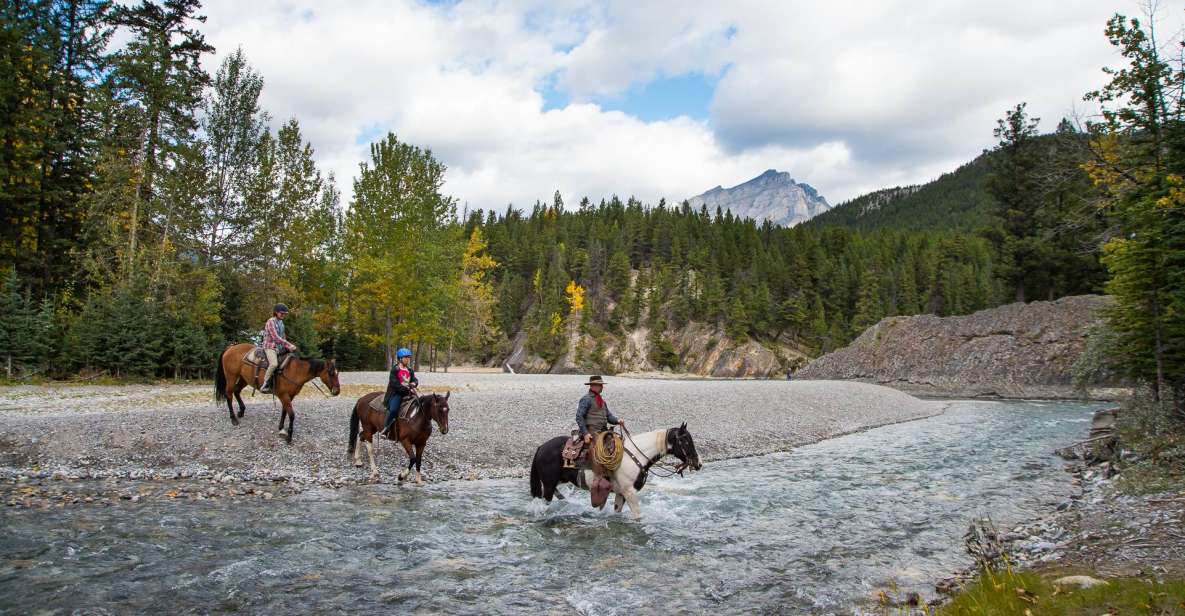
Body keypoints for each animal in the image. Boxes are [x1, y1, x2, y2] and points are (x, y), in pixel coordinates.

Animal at [530, 421, 701, 516]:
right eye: (686, 441)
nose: (698, 463)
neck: (636, 456)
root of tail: (541, 447)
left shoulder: (621, 493)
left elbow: (617, 511)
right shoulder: (629, 492)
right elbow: (638, 516)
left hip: (558, 480)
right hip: (549, 483)